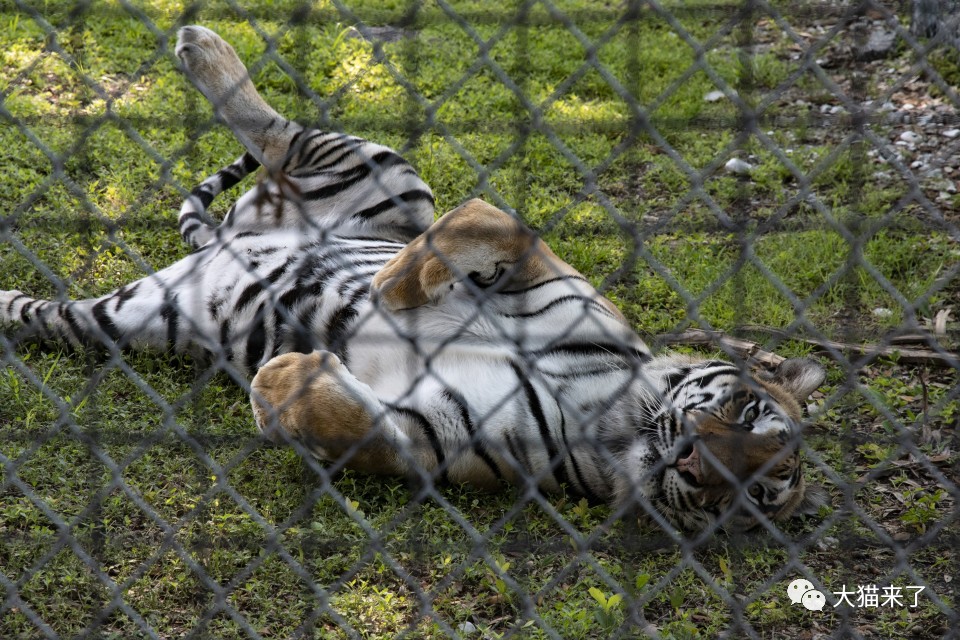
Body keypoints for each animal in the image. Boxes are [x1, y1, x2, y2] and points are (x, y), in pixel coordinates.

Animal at [0, 25, 824, 532]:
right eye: (749, 416)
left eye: (748, 497)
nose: (694, 461)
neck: (618, 421)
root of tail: (226, 239)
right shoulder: (543, 272)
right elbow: (486, 227)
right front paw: (394, 286)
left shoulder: (435, 438)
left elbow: (353, 425)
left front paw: (284, 378)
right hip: (386, 172)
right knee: (276, 132)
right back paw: (202, 45)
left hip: (131, 318)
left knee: (42, 313)